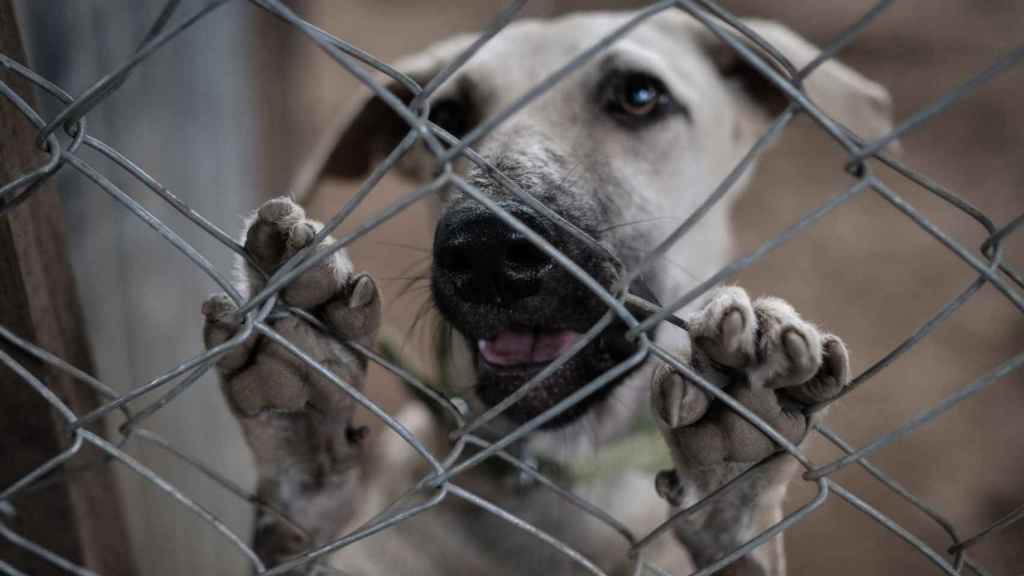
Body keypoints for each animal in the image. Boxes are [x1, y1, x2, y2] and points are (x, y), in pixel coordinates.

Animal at [199, 10, 888, 573]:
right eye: (446, 117)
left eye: (640, 96)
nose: (485, 250)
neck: (559, 486)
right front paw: (301, 420)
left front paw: (736, 476)